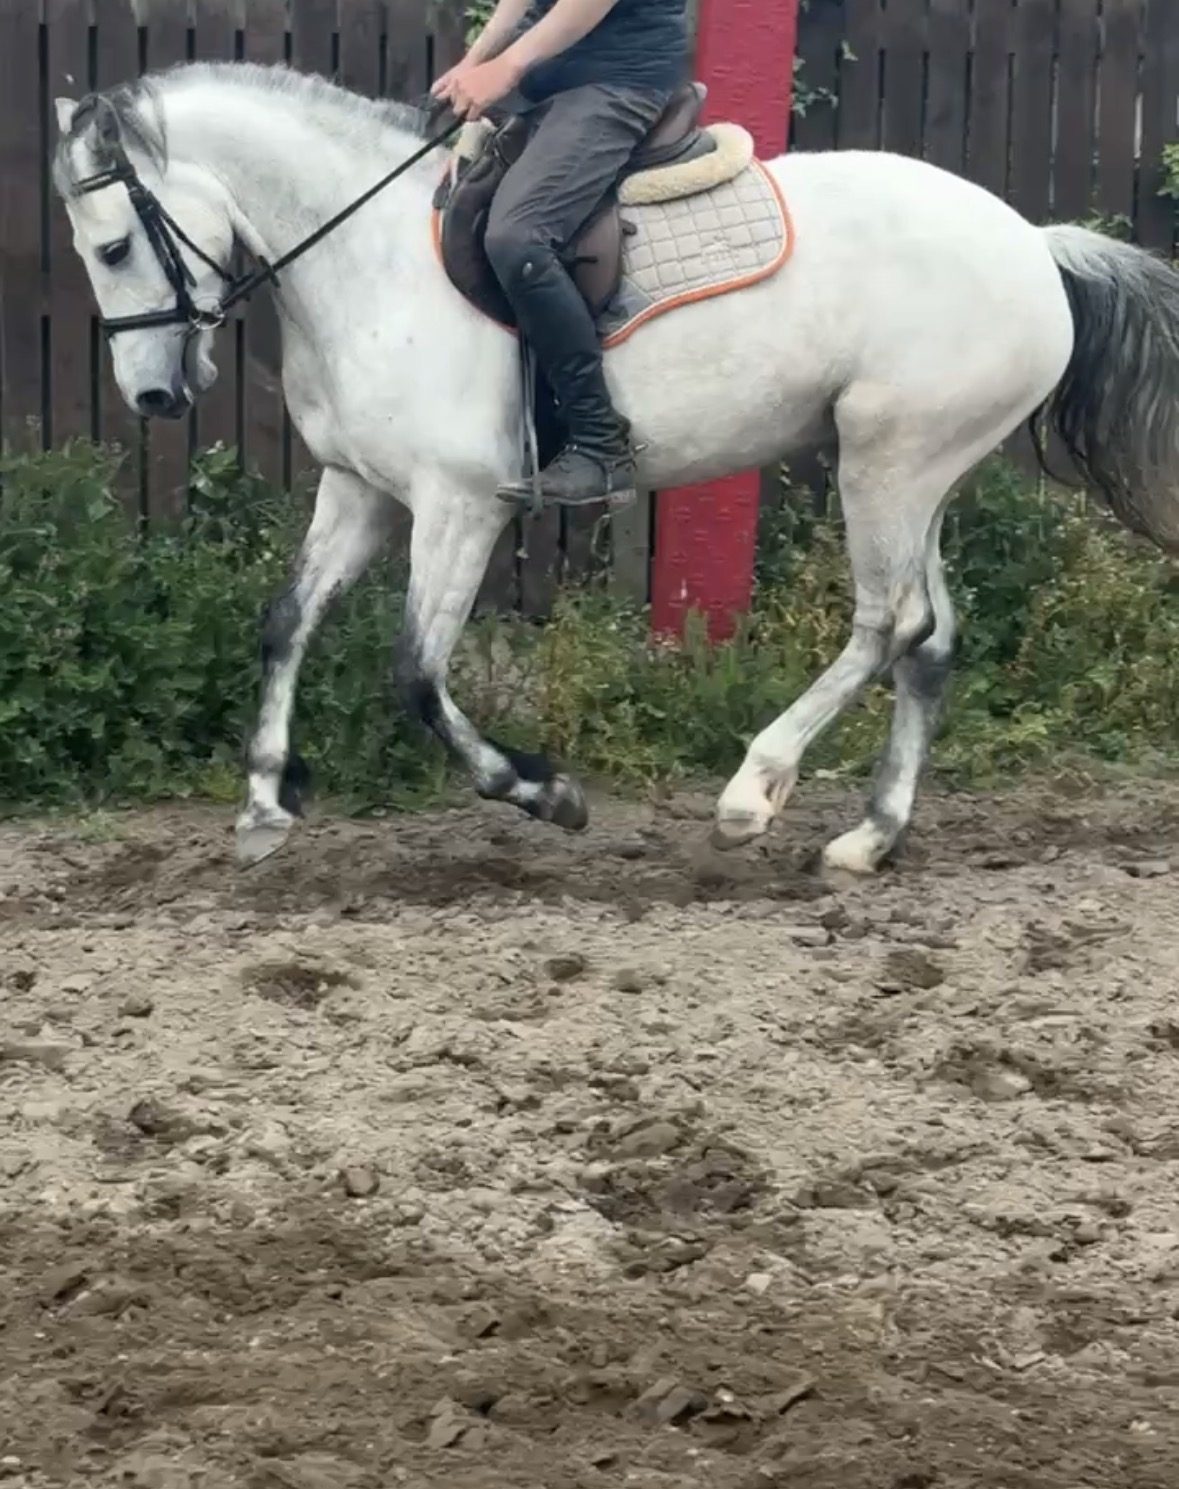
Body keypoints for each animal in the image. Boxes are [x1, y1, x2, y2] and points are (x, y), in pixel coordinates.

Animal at [53, 62, 1179, 872]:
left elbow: (416, 672)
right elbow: (285, 622)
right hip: (915, 468)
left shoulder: (460, 505)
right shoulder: (361, 488)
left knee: (887, 623)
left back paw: (751, 793)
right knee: (930, 638)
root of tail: (1034, 243)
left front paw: (545, 793)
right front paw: (261, 804)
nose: (153, 399)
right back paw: (869, 839)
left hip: (886, 462)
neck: (370, 256)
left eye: (112, 249)